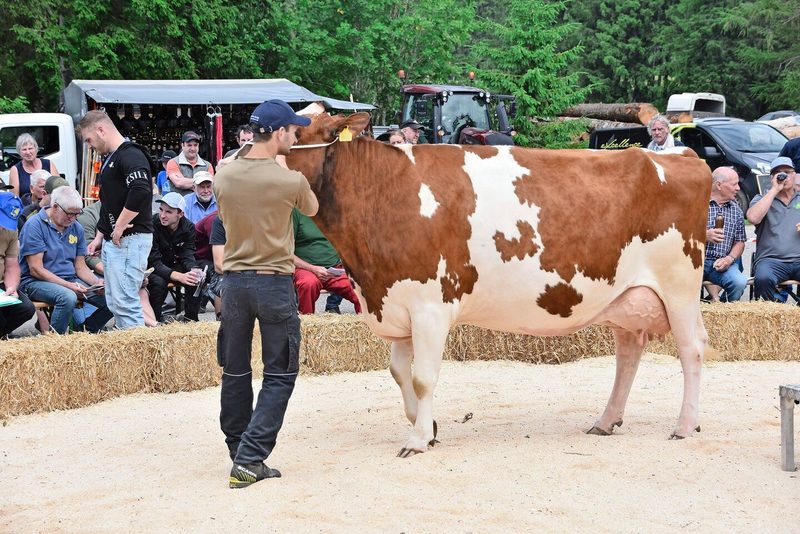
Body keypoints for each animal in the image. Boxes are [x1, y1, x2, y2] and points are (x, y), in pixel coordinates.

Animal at [284, 111, 711, 457]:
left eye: (293, 132)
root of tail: (681, 157)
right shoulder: (397, 301)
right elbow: (400, 373)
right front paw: (429, 427)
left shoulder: (429, 306)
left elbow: (423, 378)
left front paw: (418, 440)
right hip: (625, 297)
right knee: (628, 354)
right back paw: (606, 420)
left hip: (680, 287)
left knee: (691, 349)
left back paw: (685, 425)